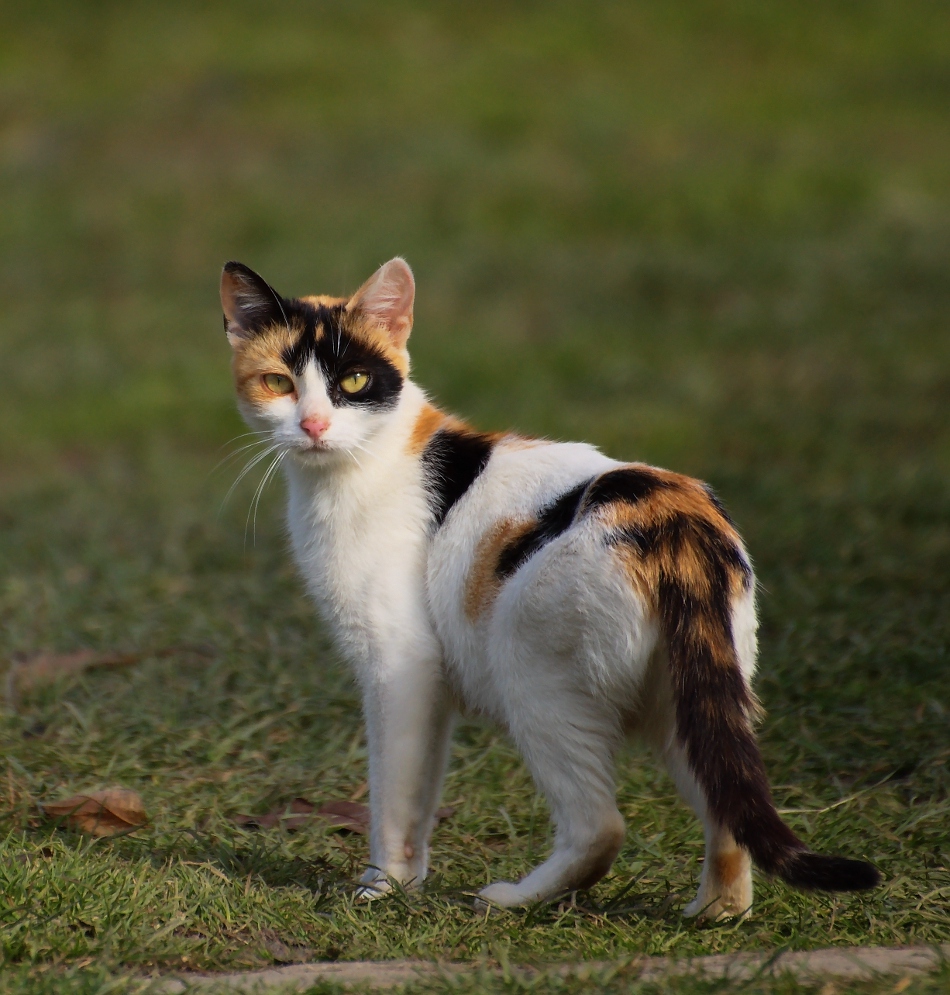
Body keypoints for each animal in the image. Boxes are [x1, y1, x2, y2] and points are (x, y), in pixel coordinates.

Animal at [219, 256, 880, 920]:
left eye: (354, 382)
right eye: (278, 382)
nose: (313, 424)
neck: (369, 462)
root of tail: (676, 521)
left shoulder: (400, 665)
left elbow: (394, 794)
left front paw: (381, 887)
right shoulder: (433, 686)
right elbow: (424, 788)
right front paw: (409, 882)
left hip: (534, 675)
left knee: (600, 826)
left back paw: (514, 899)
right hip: (695, 698)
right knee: (728, 808)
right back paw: (713, 915)